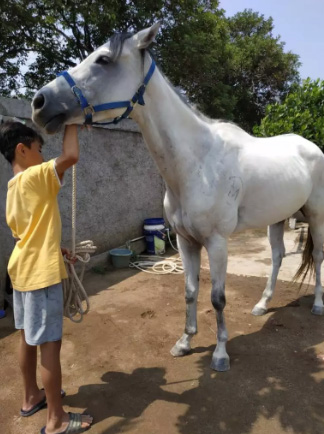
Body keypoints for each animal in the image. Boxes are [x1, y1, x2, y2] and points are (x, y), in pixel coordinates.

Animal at [31, 22, 324, 372]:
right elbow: (189, 290)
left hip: (317, 216)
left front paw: (220, 354)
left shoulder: (217, 242)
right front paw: (185, 342)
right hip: (277, 218)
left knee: (318, 255)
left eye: (103, 59)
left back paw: (318, 305)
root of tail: (311, 146)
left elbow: (217, 298)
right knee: (278, 256)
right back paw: (262, 305)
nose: (39, 102)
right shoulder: (185, 241)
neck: (198, 161)